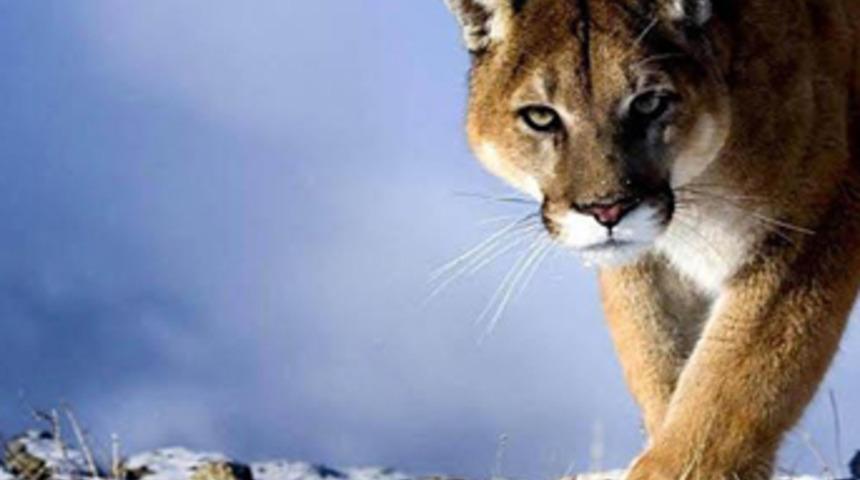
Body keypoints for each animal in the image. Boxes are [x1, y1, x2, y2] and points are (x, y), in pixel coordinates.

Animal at [442, 0, 860, 478]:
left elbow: (737, 372)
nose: (607, 210)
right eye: (541, 116)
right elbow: (655, 356)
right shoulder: (646, 261)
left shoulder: (811, 224)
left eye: (648, 103)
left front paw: (678, 467)